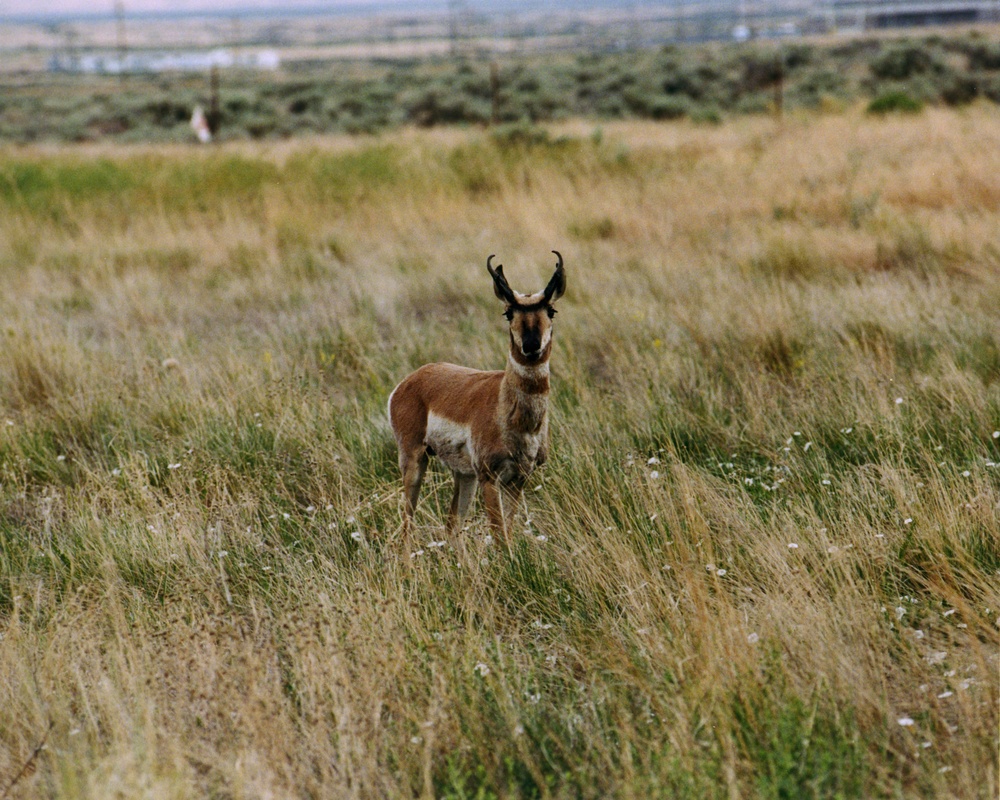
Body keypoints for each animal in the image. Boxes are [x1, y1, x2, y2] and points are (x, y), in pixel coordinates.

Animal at [388, 251, 566, 547]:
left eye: (551, 310)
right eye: (508, 312)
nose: (530, 346)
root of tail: (412, 379)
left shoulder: (518, 479)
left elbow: (509, 531)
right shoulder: (489, 478)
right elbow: (501, 537)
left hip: (464, 475)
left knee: (451, 525)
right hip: (414, 461)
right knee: (407, 524)